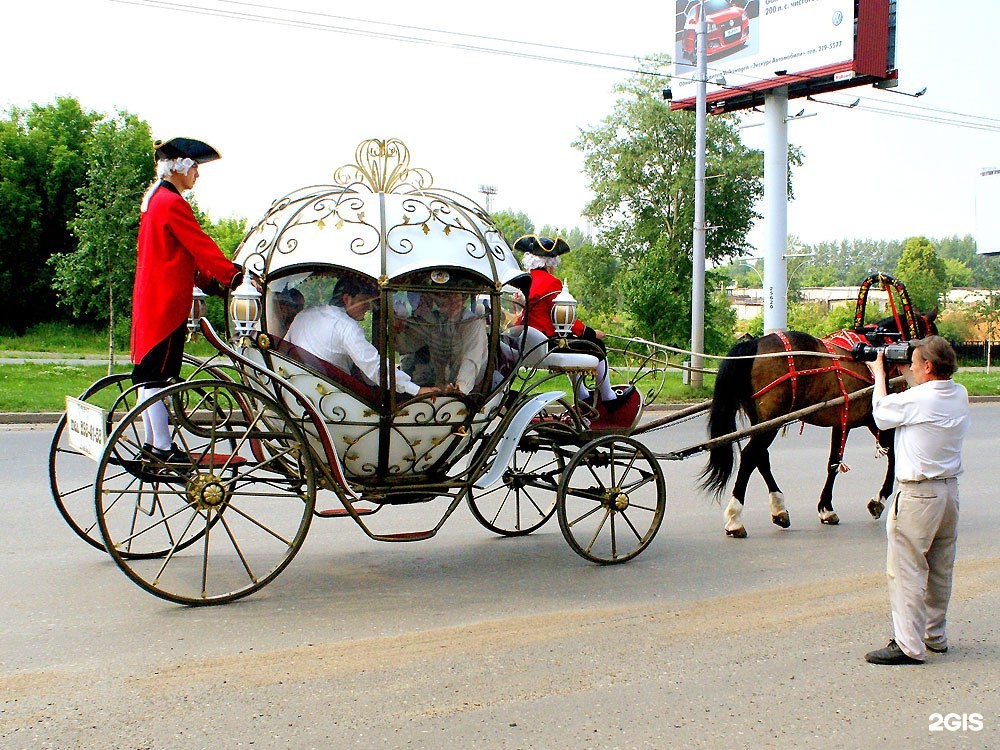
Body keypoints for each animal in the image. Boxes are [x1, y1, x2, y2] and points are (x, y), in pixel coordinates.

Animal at [696, 314, 936, 536]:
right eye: (931, 331)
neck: (881, 347)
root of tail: (753, 346)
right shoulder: (870, 418)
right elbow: (889, 456)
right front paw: (875, 501)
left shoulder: (845, 420)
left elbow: (834, 463)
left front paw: (826, 508)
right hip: (769, 422)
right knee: (749, 457)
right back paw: (735, 518)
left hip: (763, 422)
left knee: (760, 457)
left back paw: (779, 509)